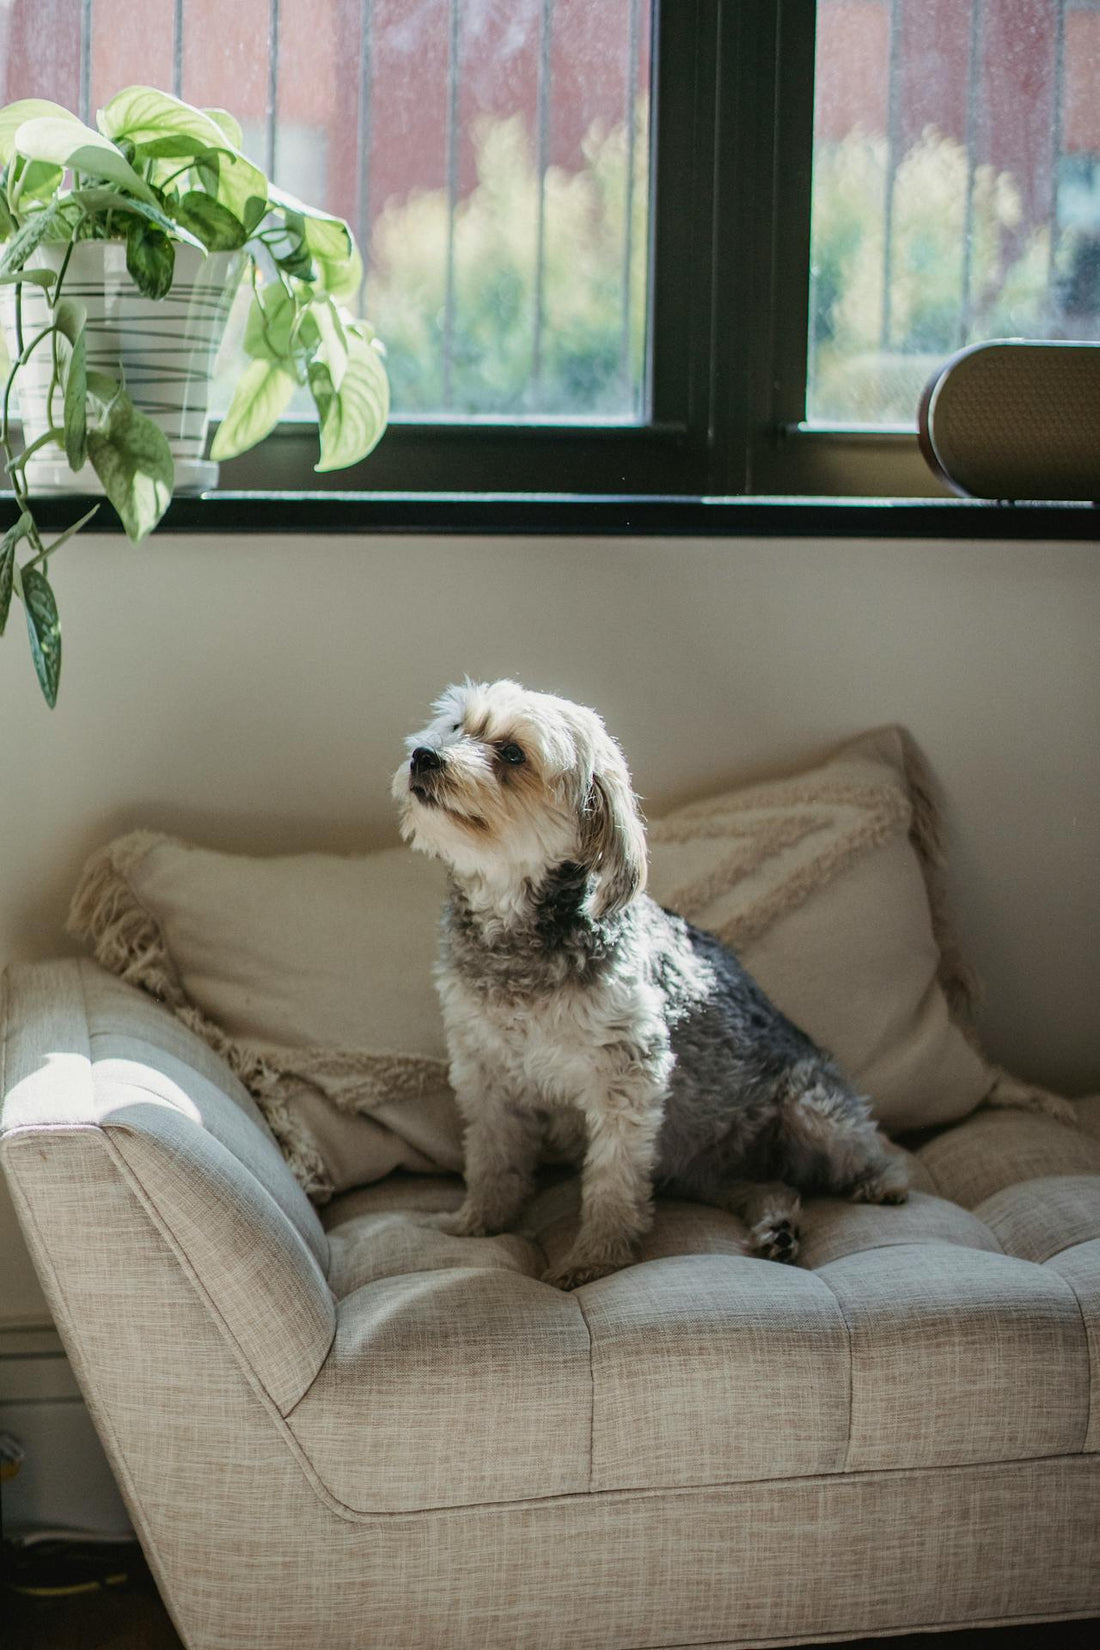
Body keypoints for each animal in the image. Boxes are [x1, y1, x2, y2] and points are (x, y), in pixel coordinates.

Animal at [390, 679, 910, 1287]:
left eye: (513, 753)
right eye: (455, 727)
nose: (424, 755)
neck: (514, 931)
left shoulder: (627, 1073)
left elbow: (612, 1178)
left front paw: (595, 1257)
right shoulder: (484, 1069)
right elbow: (492, 1159)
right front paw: (477, 1223)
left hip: (813, 1110)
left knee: (879, 1150)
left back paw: (880, 1183)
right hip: (711, 1173)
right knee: (773, 1185)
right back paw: (777, 1227)